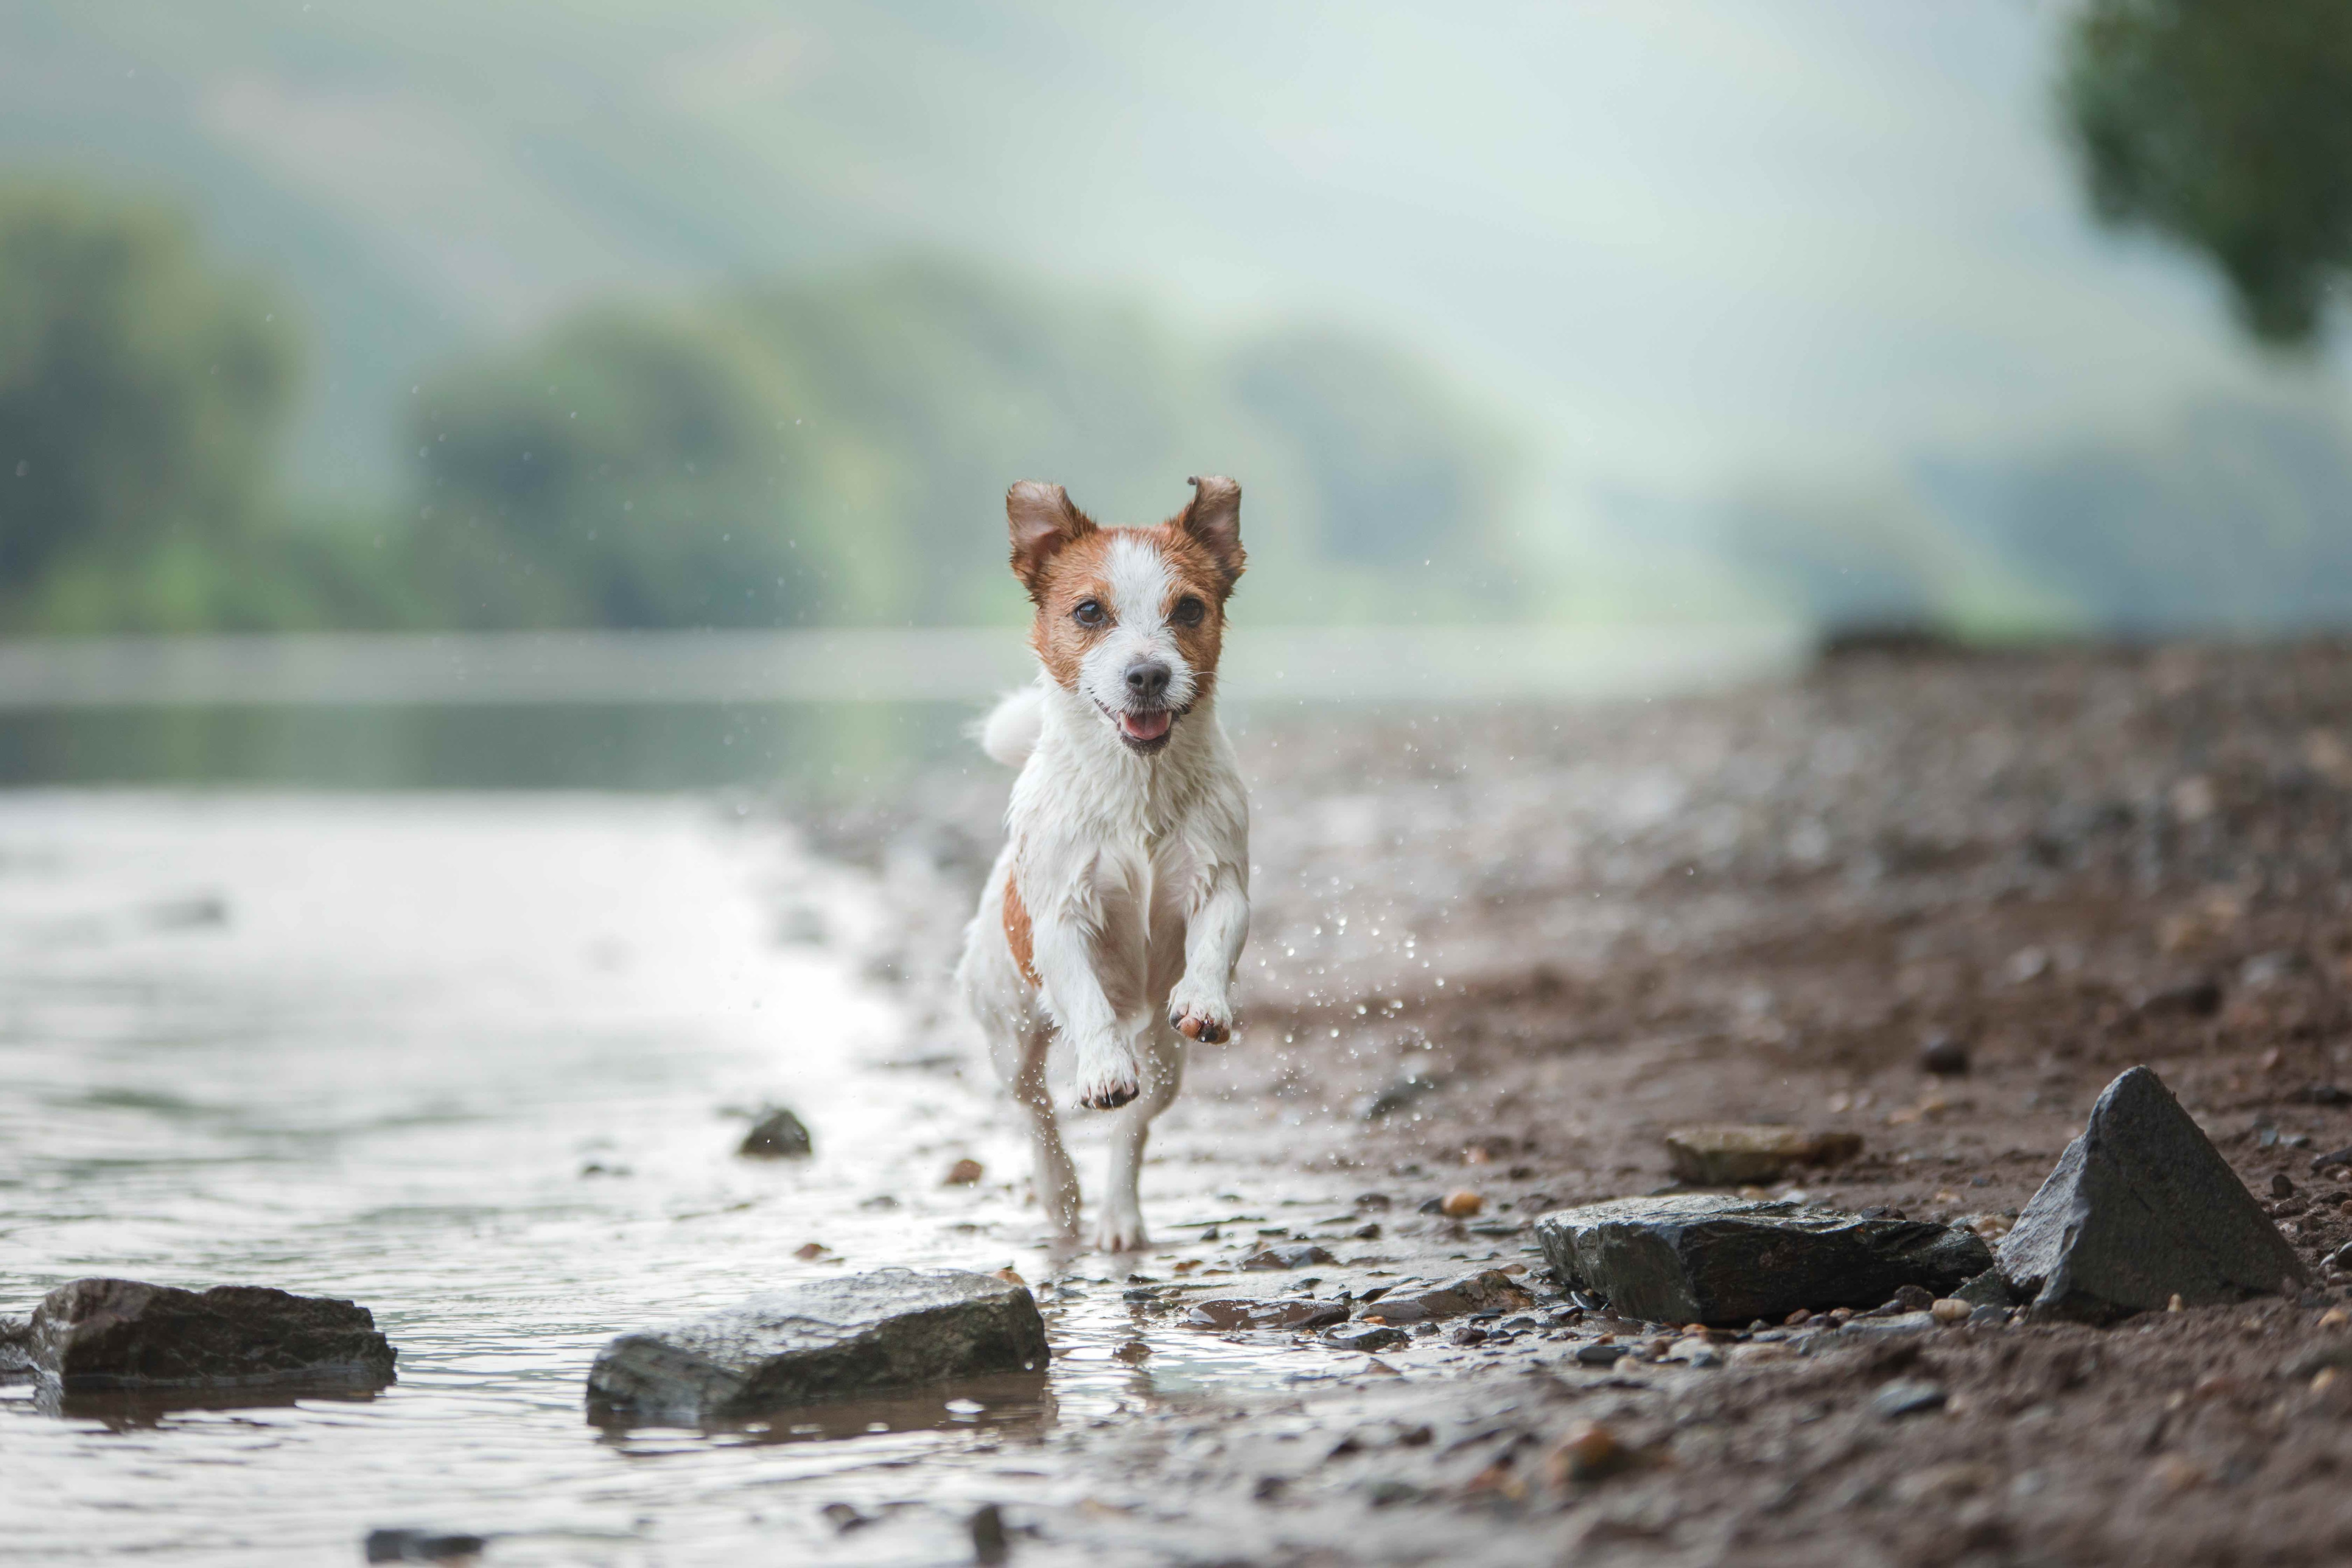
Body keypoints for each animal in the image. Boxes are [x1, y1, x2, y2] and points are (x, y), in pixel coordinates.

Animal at [950, 475, 1251, 1250]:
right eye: (1089, 611)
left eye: (1189, 608)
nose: (1148, 673)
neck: (1135, 785)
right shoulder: (1062, 921)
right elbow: (1085, 1002)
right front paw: (1103, 1068)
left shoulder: (1220, 883)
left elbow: (1215, 939)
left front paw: (1205, 999)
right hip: (1009, 1033)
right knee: (1036, 1112)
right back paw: (1062, 1199)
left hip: (1166, 1061)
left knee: (1133, 1131)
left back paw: (1119, 1214)